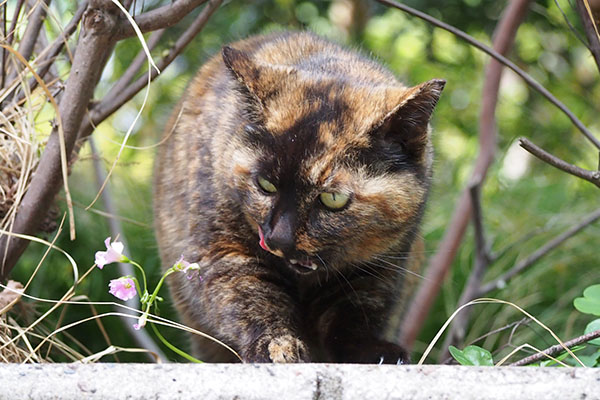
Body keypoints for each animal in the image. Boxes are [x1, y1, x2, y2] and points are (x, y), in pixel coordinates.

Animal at [154, 30, 446, 362]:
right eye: (265, 184)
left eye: (333, 199)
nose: (278, 238)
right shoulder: (220, 250)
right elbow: (251, 298)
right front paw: (278, 346)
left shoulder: (377, 268)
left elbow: (353, 315)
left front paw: (375, 352)